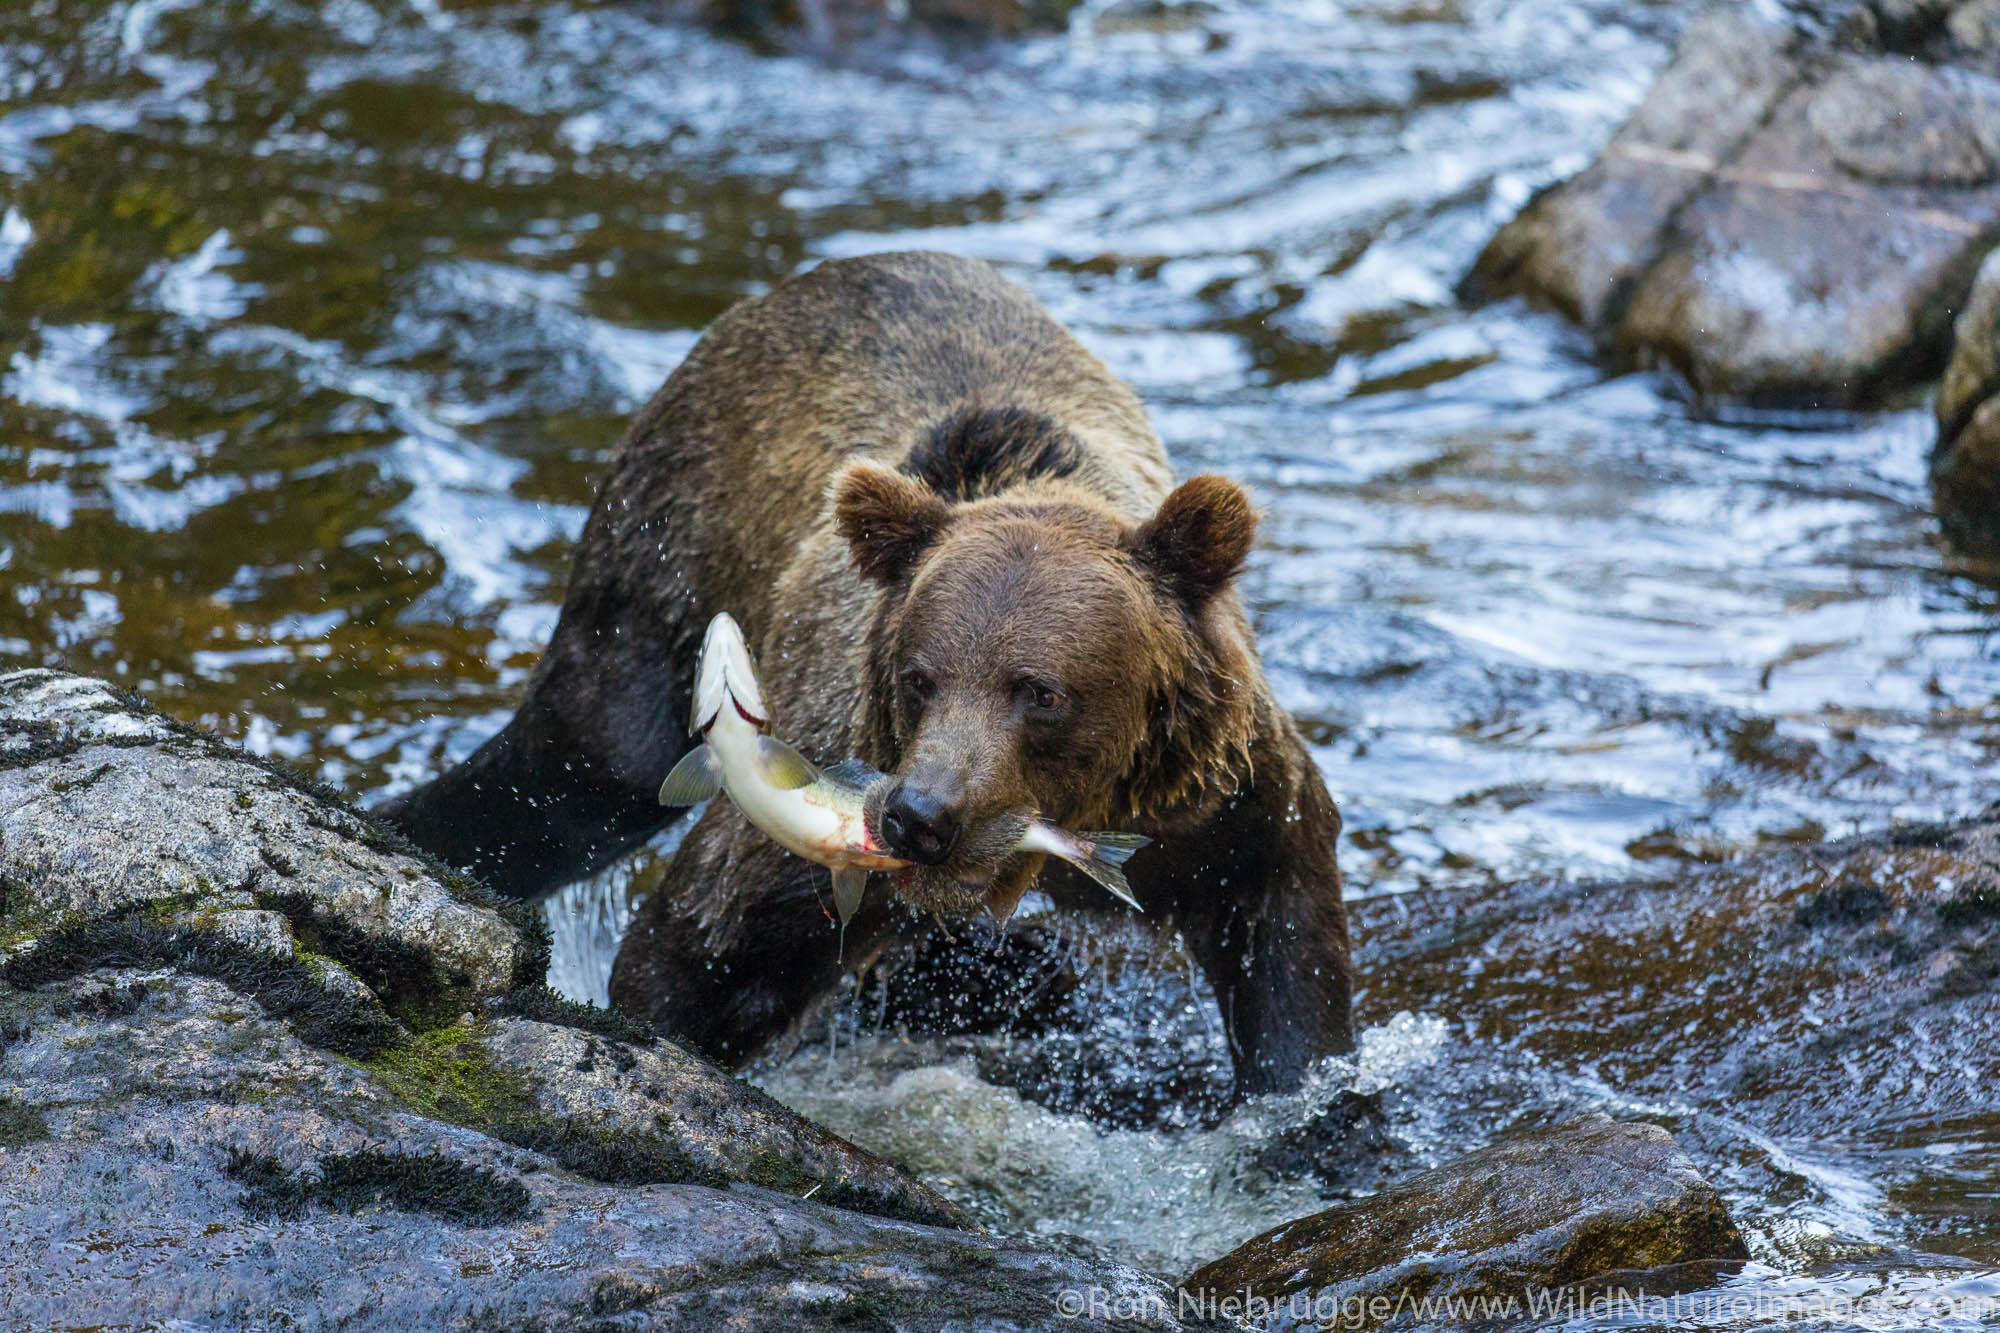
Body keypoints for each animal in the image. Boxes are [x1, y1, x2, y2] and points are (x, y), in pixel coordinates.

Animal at [382, 249, 1352, 1088]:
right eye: (920, 676)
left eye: (1041, 692)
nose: (920, 816)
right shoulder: (818, 771)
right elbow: (700, 943)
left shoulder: (1218, 796)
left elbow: (1285, 942)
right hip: (664, 560)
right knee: (578, 764)